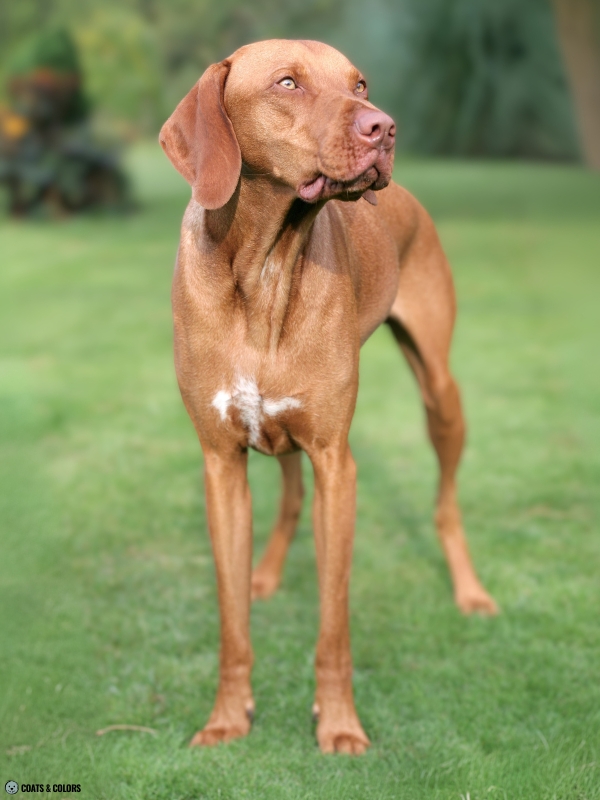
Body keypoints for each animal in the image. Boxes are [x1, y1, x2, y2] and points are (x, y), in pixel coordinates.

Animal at [159, 39, 496, 756]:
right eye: (287, 83)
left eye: (359, 82)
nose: (385, 127)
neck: (264, 267)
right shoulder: (221, 464)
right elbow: (232, 622)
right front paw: (227, 719)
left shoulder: (337, 465)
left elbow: (334, 625)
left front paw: (339, 724)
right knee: (288, 493)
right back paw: (266, 573)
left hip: (440, 393)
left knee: (445, 504)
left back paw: (471, 591)